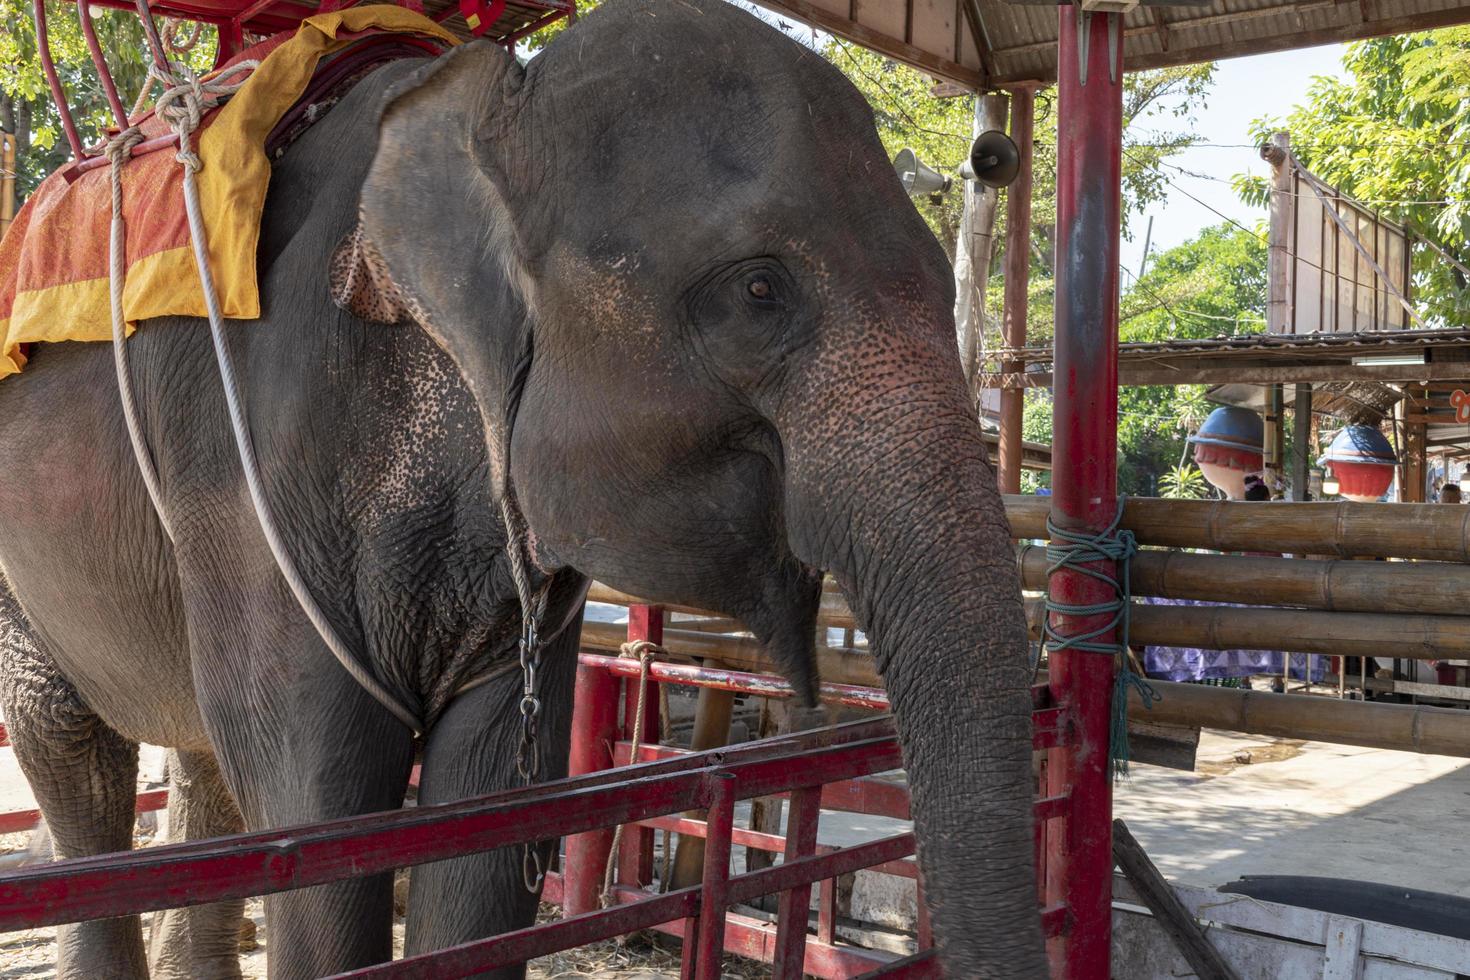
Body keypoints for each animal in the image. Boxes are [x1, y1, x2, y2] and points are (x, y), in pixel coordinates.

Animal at [0, 0, 1046, 975]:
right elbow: (318, 800)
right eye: (759, 291)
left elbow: (491, 807)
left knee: (198, 753)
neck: (483, 105)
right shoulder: (251, 465)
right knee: (73, 744)